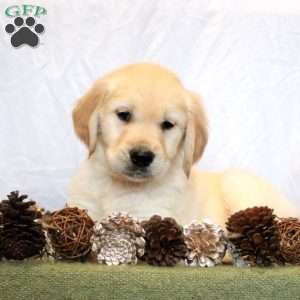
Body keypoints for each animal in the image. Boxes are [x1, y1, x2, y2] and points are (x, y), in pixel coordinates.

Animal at [68, 63, 300, 227]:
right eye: (123, 115)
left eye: (167, 125)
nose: (142, 157)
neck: (119, 185)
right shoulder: (82, 206)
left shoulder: (151, 216)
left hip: (238, 183)